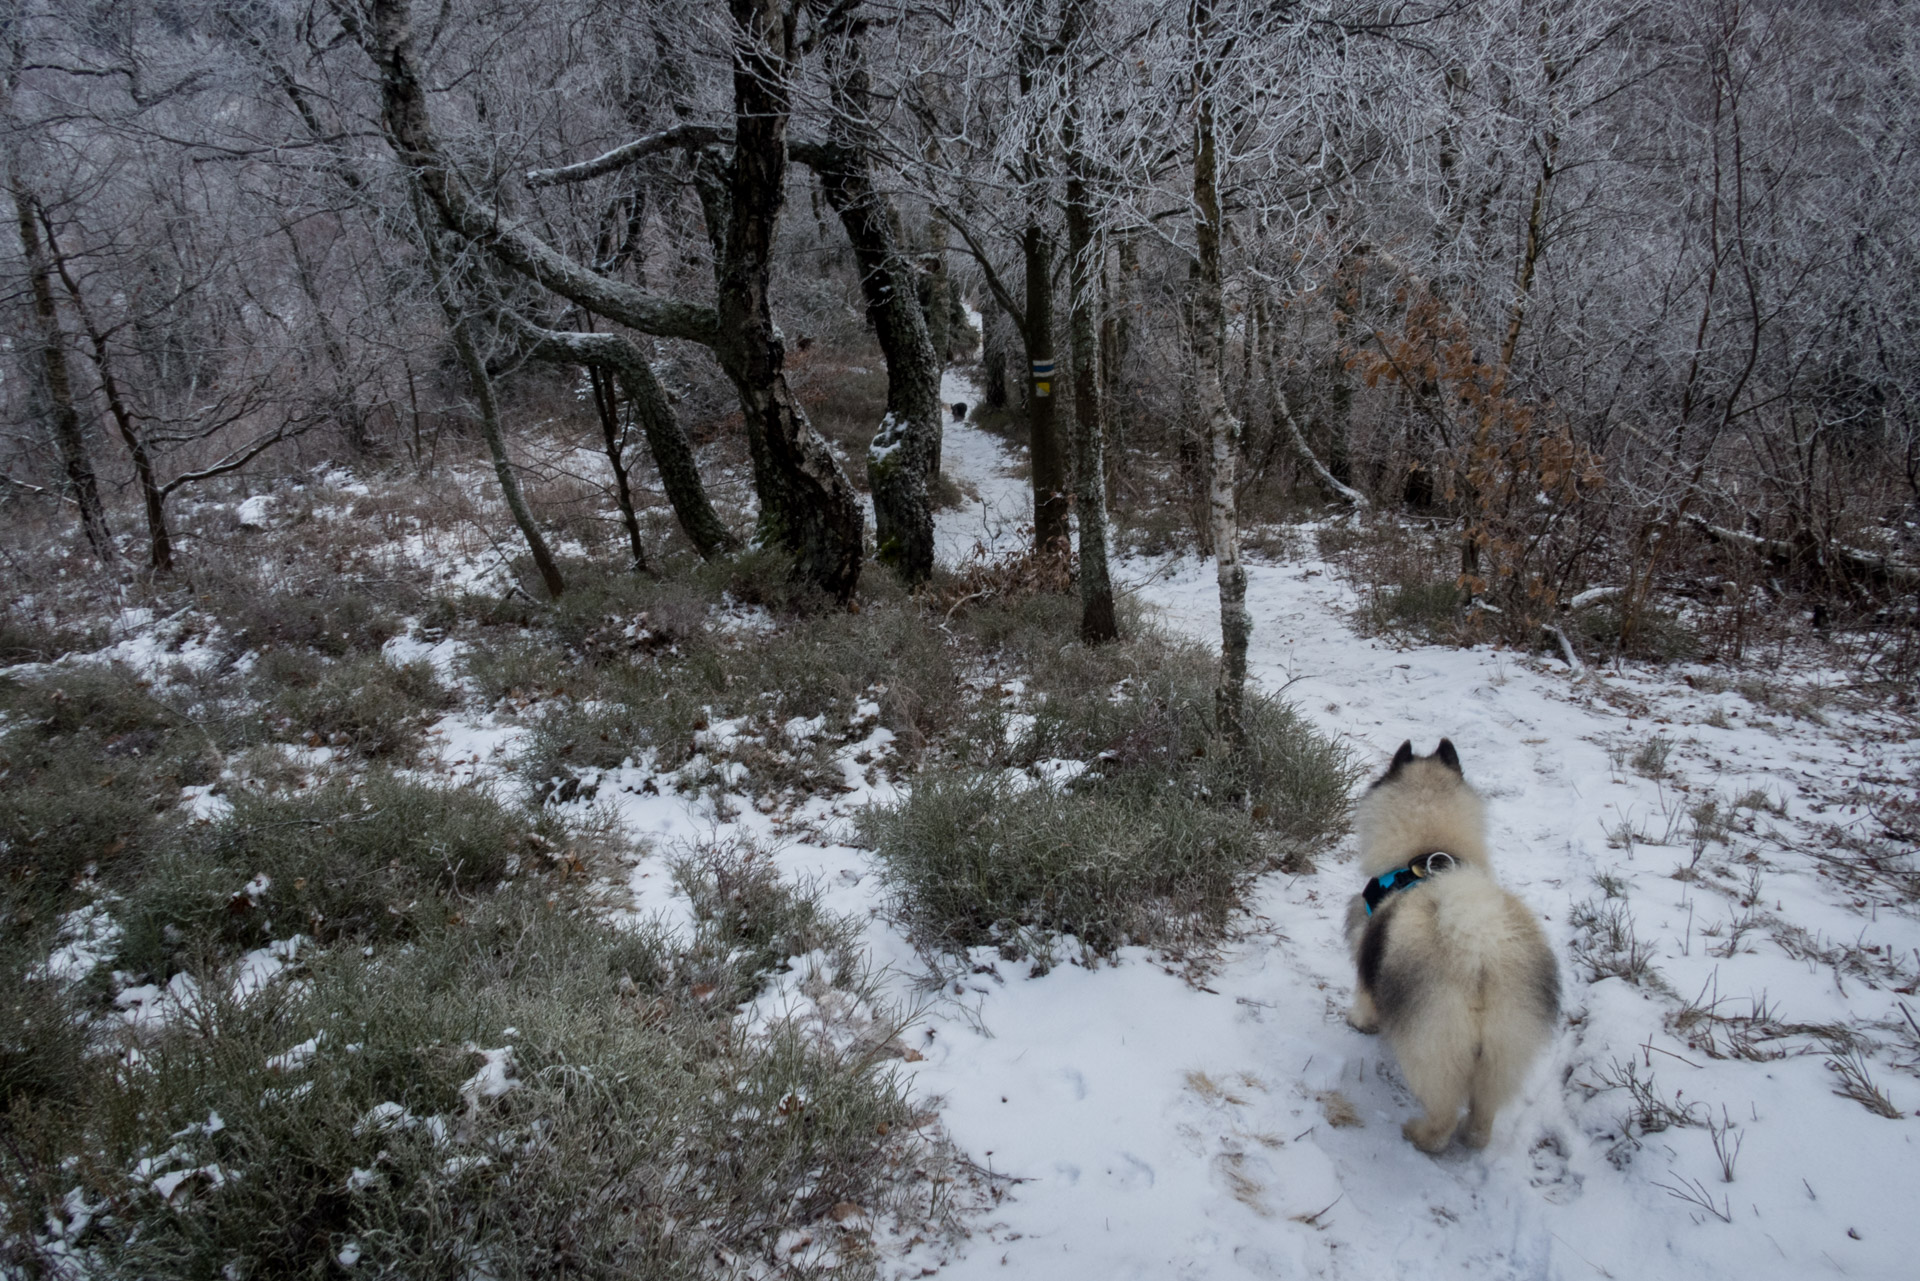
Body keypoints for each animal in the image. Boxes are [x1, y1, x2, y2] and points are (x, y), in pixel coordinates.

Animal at [1351, 741, 1559, 1152]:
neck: (1431, 846)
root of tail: (1480, 953)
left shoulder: (1368, 952)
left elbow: (1364, 998)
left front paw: (1359, 1022)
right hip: (1504, 1050)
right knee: (1483, 1117)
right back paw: (1471, 1137)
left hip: (1431, 1046)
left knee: (1443, 1115)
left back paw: (1419, 1136)